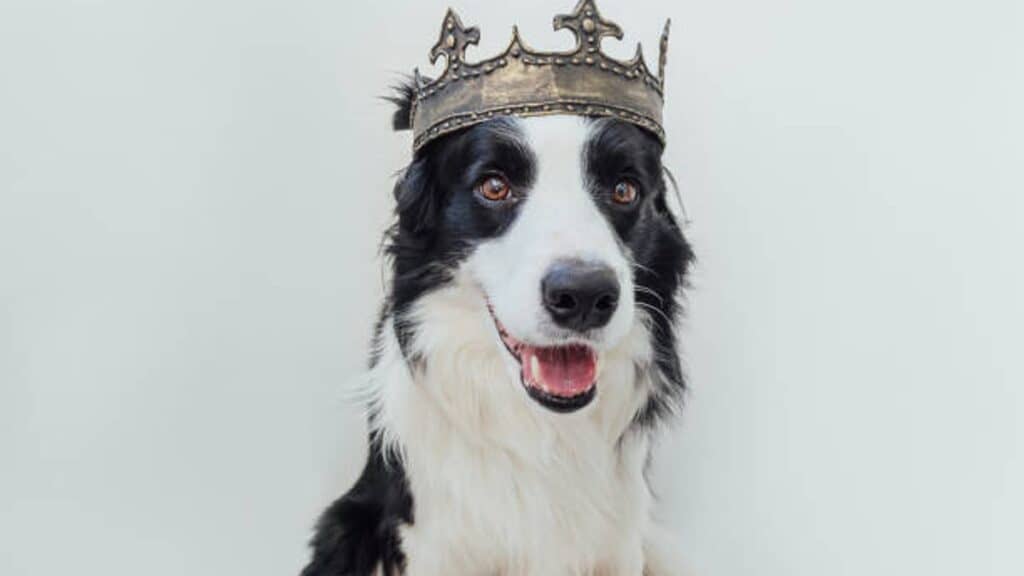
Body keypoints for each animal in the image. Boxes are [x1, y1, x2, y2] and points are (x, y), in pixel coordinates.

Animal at [299, 78, 696, 569]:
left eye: (624, 189)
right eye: (493, 186)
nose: (584, 295)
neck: (539, 431)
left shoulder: (621, 542)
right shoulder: (430, 539)